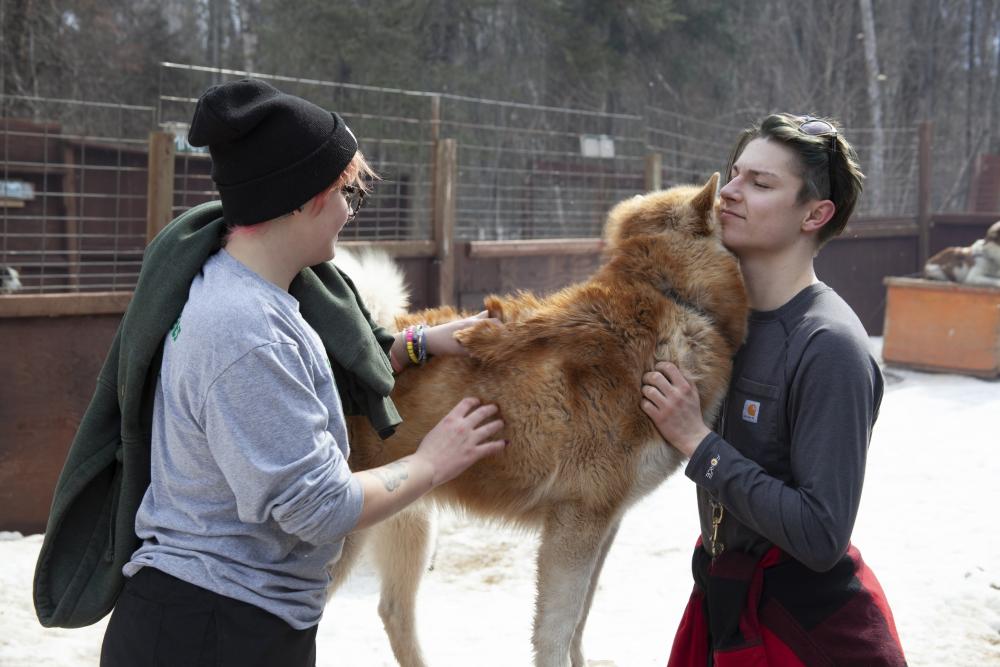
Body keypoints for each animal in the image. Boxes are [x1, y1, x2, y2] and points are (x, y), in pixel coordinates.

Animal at [332, 175, 748, 667]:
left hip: (412, 527)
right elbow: (555, 632)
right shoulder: (576, 522)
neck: (671, 297)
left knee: (393, 611)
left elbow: (579, 626)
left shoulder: (604, 525)